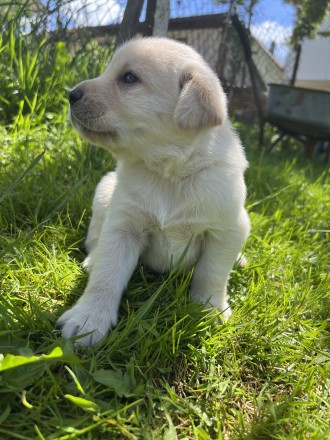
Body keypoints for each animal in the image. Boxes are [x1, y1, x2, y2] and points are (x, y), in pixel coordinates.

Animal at [58, 37, 251, 346]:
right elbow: (106, 276)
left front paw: (208, 311)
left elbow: (212, 273)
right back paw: (92, 260)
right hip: (104, 193)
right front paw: (87, 320)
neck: (169, 173)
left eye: (129, 78)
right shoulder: (123, 227)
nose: (70, 95)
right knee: (95, 240)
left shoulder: (228, 229)